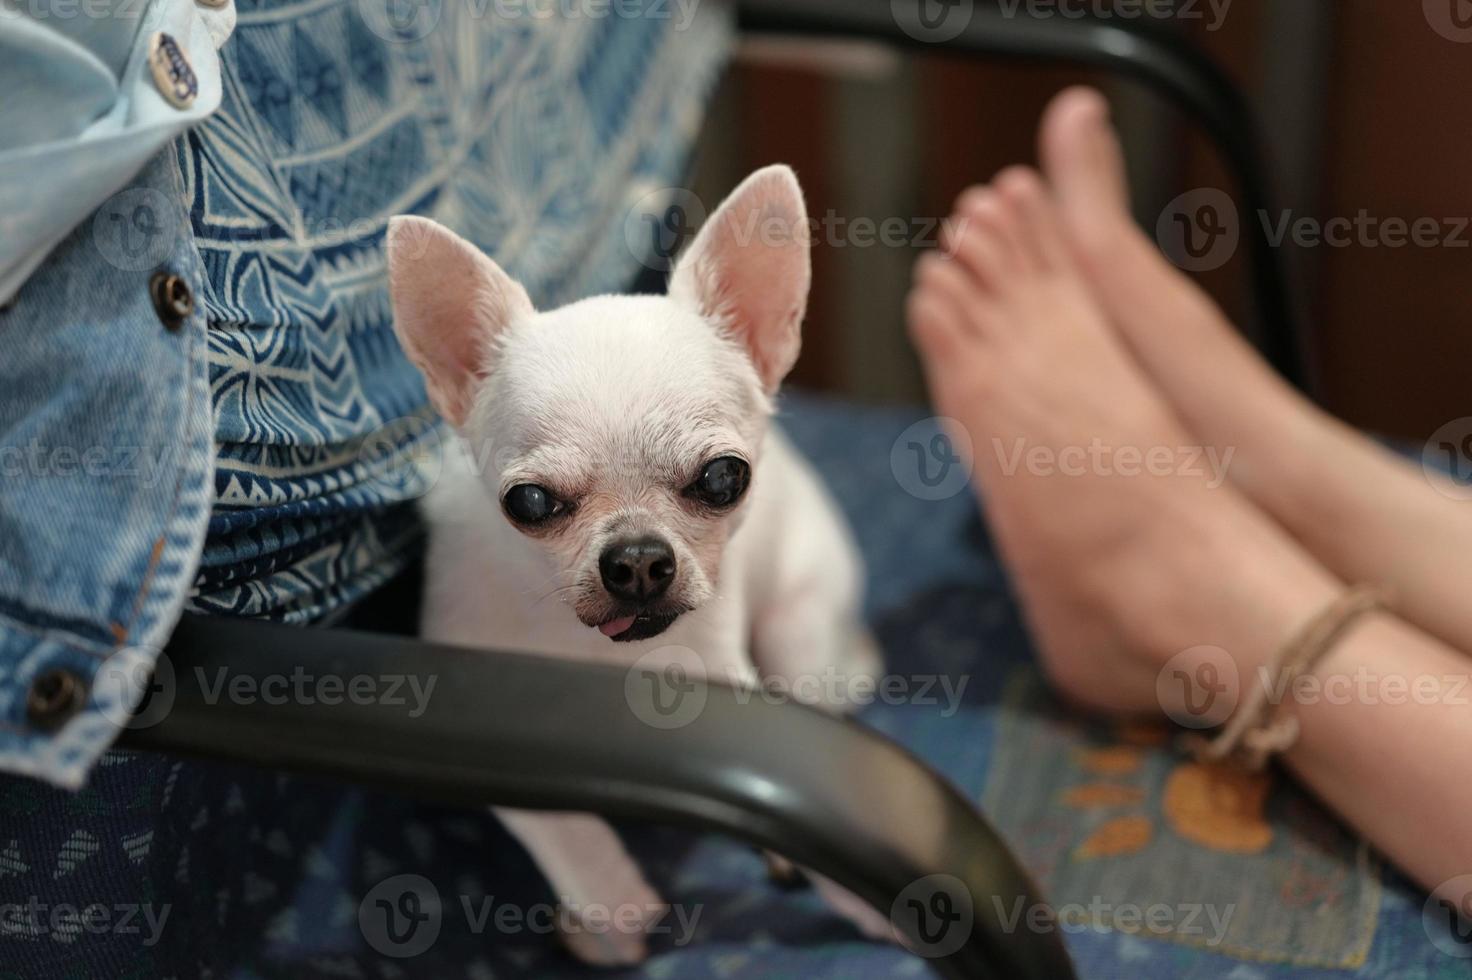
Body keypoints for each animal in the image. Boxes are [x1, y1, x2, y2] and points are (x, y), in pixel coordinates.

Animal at [385, 167, 877, 959]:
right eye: (529, 502)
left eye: (724, 478)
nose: (639, 559)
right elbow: (554, 821)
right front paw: (611, 906)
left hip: (798, 624)